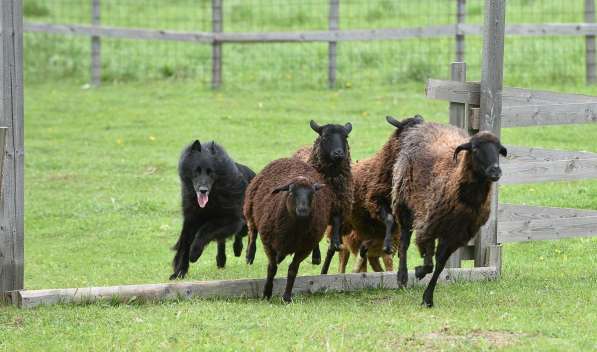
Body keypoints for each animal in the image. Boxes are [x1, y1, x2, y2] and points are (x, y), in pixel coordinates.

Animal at [169, 140, 255, 280]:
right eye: (196, 171)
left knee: (246, 236)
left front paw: (195, 252)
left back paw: (244, 253)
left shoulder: (232, 220)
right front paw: (179, 272)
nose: (203, 190)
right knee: (223, 241)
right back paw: (222, 260)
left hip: (245, 223)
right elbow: (185, 244)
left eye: (211, 172)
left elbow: (204, 231)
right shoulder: (190, 220)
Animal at [244, 158, 332, 302]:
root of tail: (291, 159)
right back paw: (249, 255)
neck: (295, 229)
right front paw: (266, 293)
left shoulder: (305, 247)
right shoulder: (268, 243)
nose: (303, 210)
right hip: (249, 208)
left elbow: (292, 269)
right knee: (252, 231)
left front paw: (286, 297)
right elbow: (272, 268)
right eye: (291, 192)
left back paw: (316, 256)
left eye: (312, 193)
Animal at [392, 122, 508, 306]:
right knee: (404, 243)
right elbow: (429, 262)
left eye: (498, 149)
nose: (495, 171)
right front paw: (418, 272)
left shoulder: (455, 235)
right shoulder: (430, 224)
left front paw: (427, 298)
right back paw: (402, 277)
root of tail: (424, 125)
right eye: (475, 148)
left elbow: (439, 265)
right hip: (404, 203)